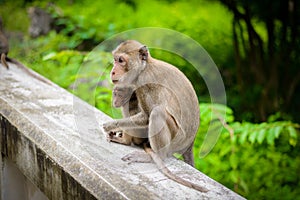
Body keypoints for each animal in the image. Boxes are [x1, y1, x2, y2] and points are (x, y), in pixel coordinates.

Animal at [102, 39, 207, 192]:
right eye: (115, 59)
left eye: (121, 60)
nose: (113, 71)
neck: (145, 68)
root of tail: (190, 143)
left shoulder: (145, 83)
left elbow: (147, 116)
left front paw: (111, 125)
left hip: (177, 139)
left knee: (157, 112)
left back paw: (154, 155)